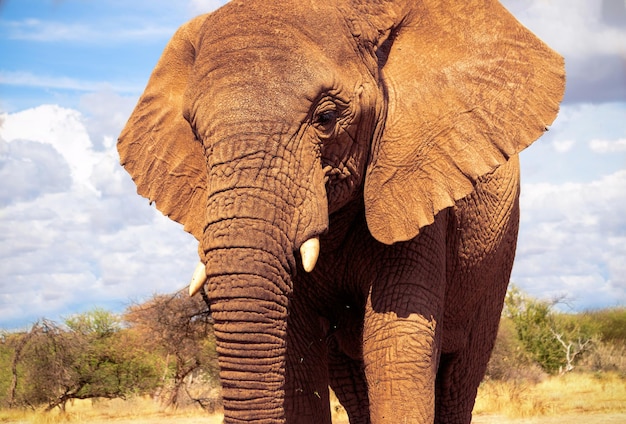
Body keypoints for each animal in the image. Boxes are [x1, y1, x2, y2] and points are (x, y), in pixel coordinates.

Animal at [116, 0, 560, 422]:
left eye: (326, 118)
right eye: (194, 131)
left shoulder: (419, 191)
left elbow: (395, 345)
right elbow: (297, 357)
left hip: (495, 260)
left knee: (459, 378)